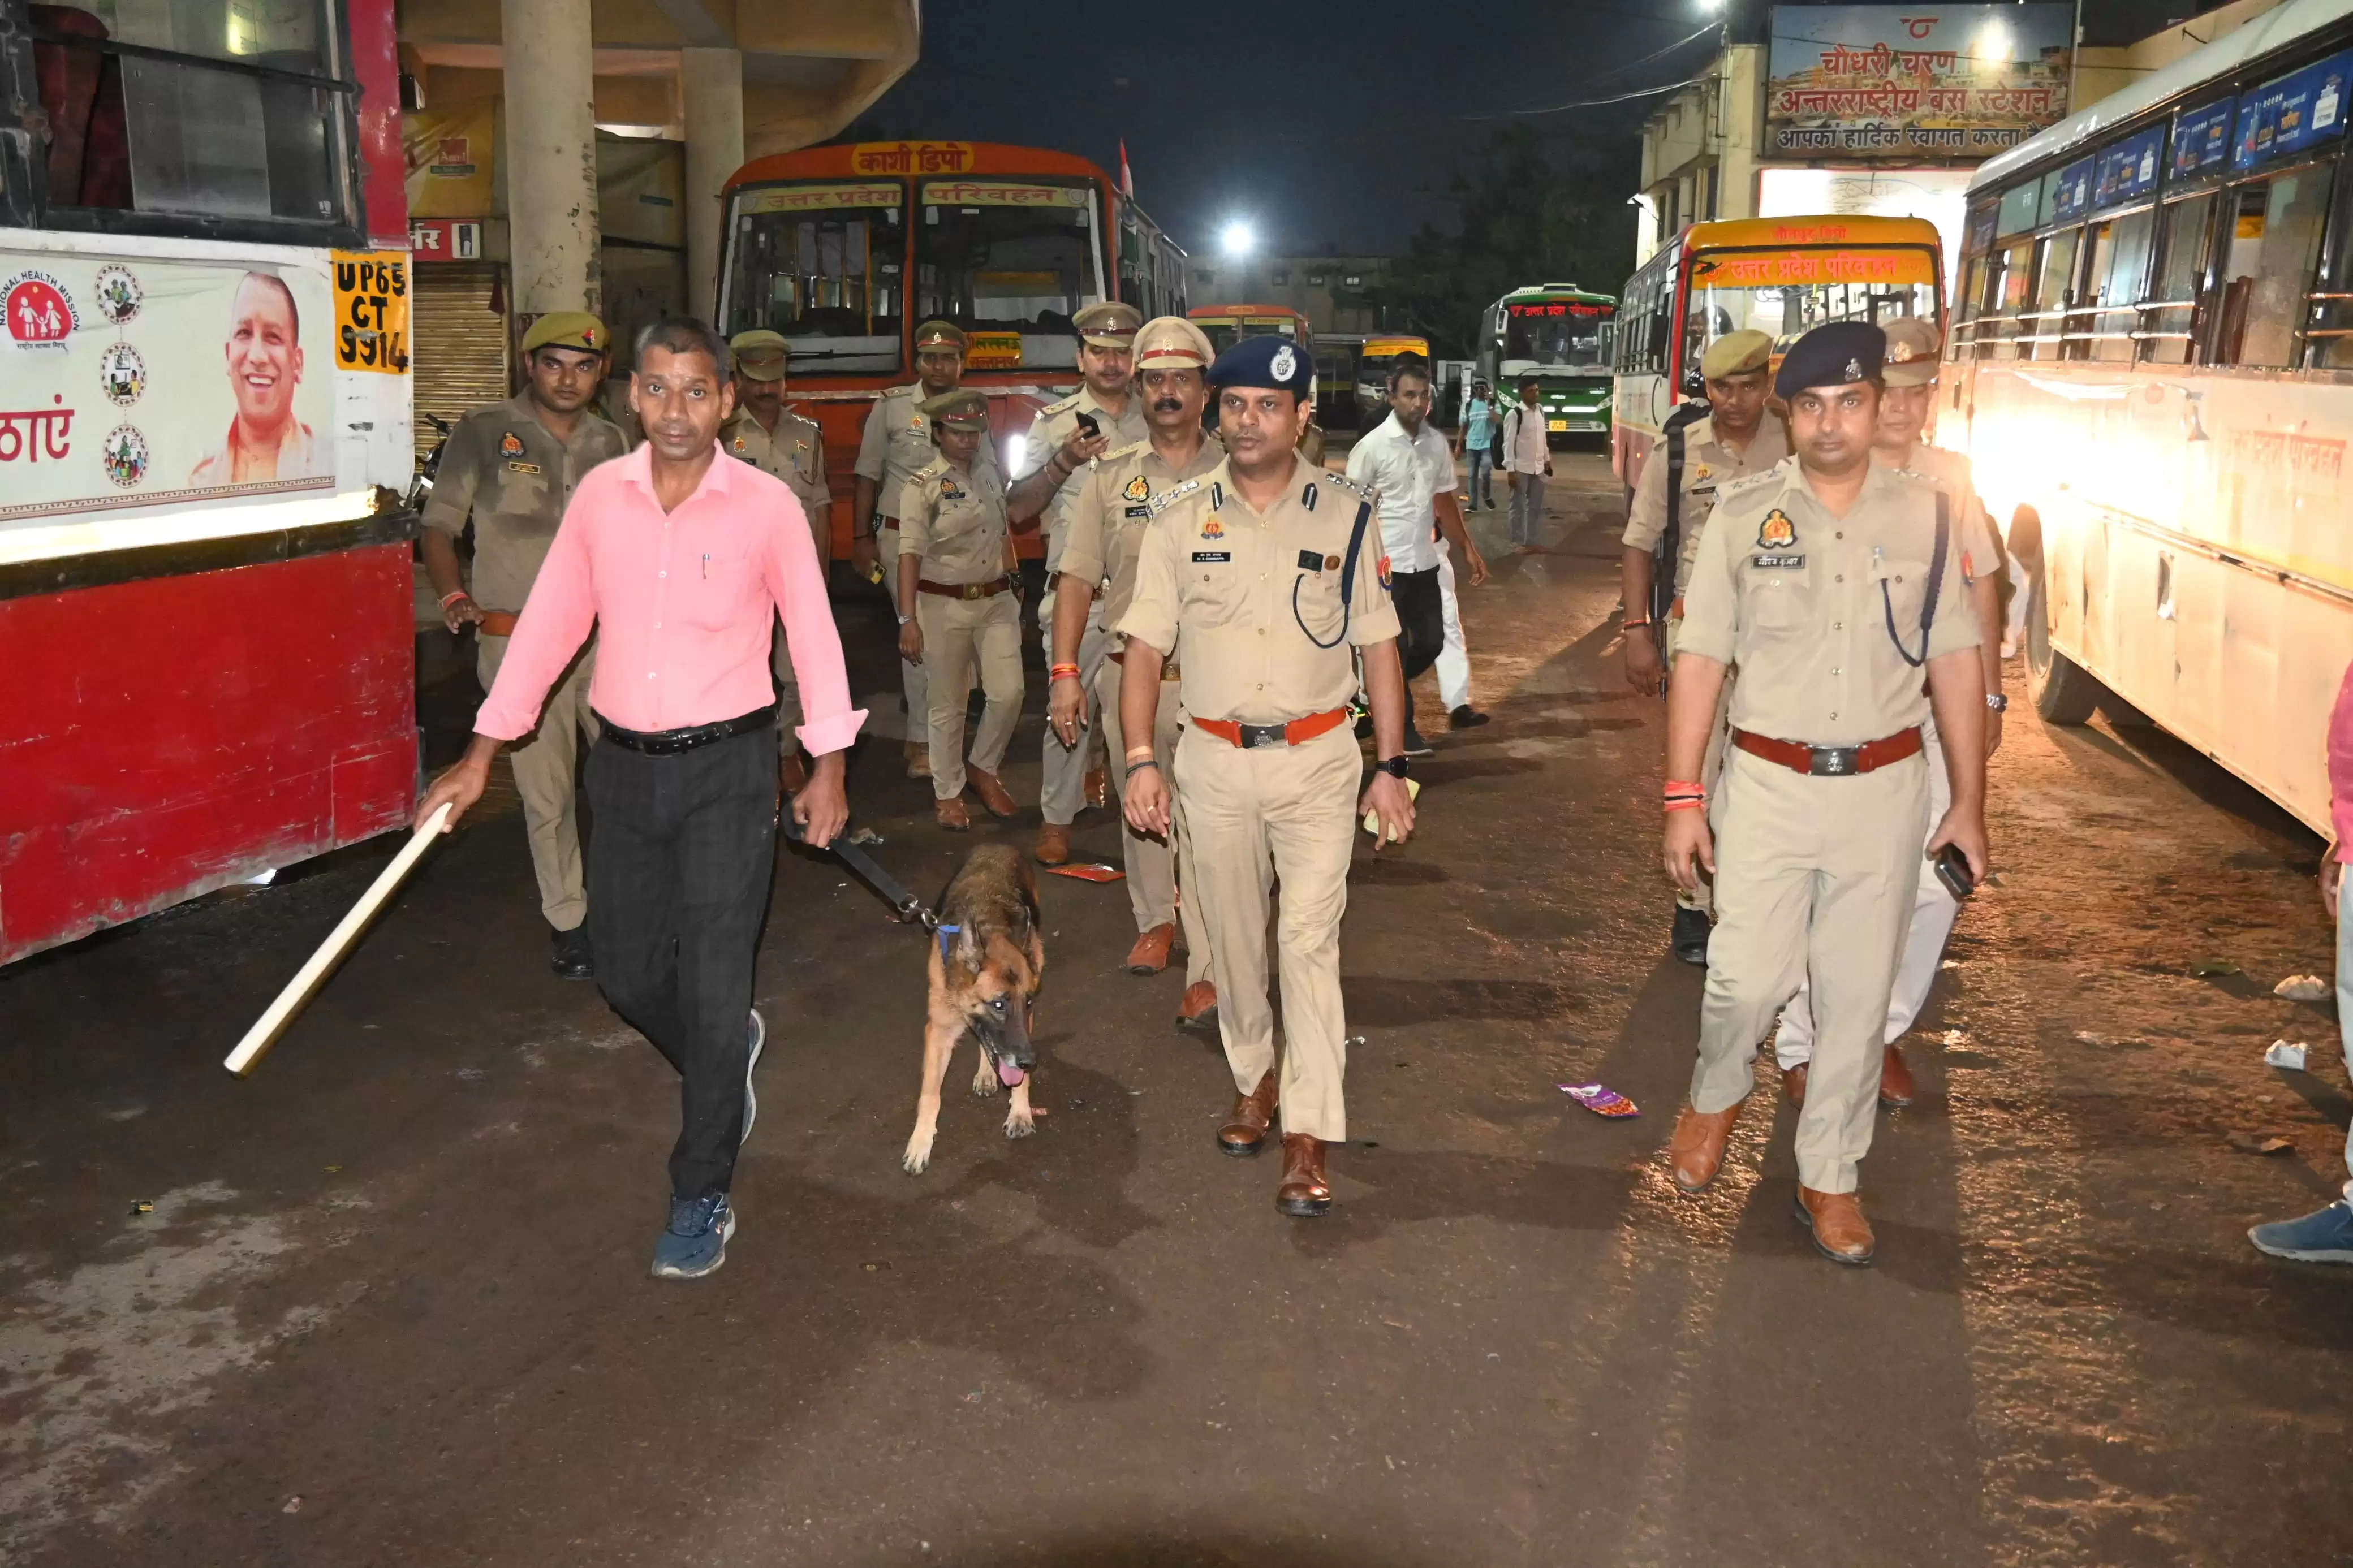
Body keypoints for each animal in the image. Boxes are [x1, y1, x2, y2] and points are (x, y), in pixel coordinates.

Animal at [903, 846, 1045, 1175]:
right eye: (998, 1004)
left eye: (1028, 1003)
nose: (1030, 1062)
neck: (991, 925)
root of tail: (998, 846)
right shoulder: (939, 1031)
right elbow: (930, 1095)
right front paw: (921, 1142)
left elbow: (1015, 1072)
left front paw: (1021, 1111)